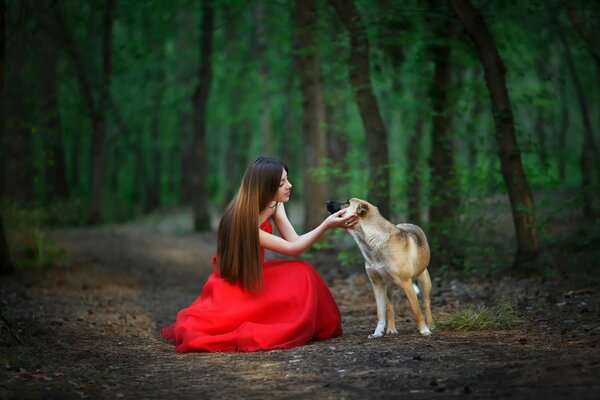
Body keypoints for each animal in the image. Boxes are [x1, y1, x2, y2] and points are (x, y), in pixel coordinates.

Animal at [328, 197, 432, 338]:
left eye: (348, 202)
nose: (327, 202)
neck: (372, 241)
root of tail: (407, 223)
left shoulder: (407, 283)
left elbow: (416, 310)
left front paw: (424, 329)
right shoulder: (377, 284)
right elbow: (381, 312)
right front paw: (377, 332)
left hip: (423, 280)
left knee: (426, 303)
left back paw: (430, 325)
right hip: (388, 287)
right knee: (390, 307)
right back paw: (391, 328)